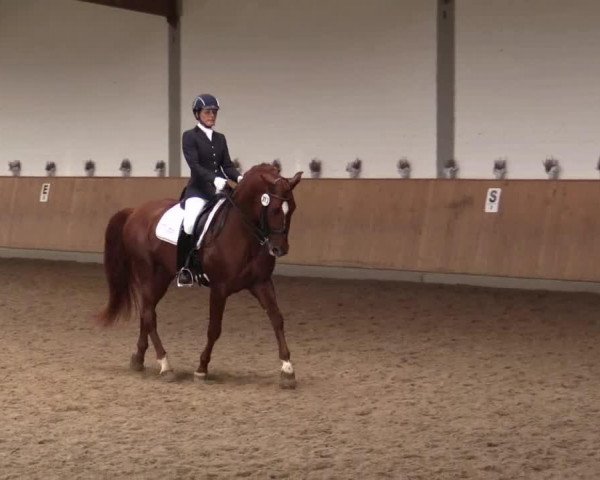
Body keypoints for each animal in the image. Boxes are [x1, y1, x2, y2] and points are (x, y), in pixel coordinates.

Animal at [99, 163, 304, 388]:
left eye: (292, 208)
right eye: (274, 209)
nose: (279, 249)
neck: (242, 233)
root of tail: (135, 211)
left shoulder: (261, 282)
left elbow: (277, 319)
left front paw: (287, 369)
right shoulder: (219, 288)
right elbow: (214, 329)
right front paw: (201, 369)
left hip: (161, 277)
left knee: (147, 311)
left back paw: (138, 359)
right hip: (146, 273)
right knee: (149, 315)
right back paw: (165, 365)